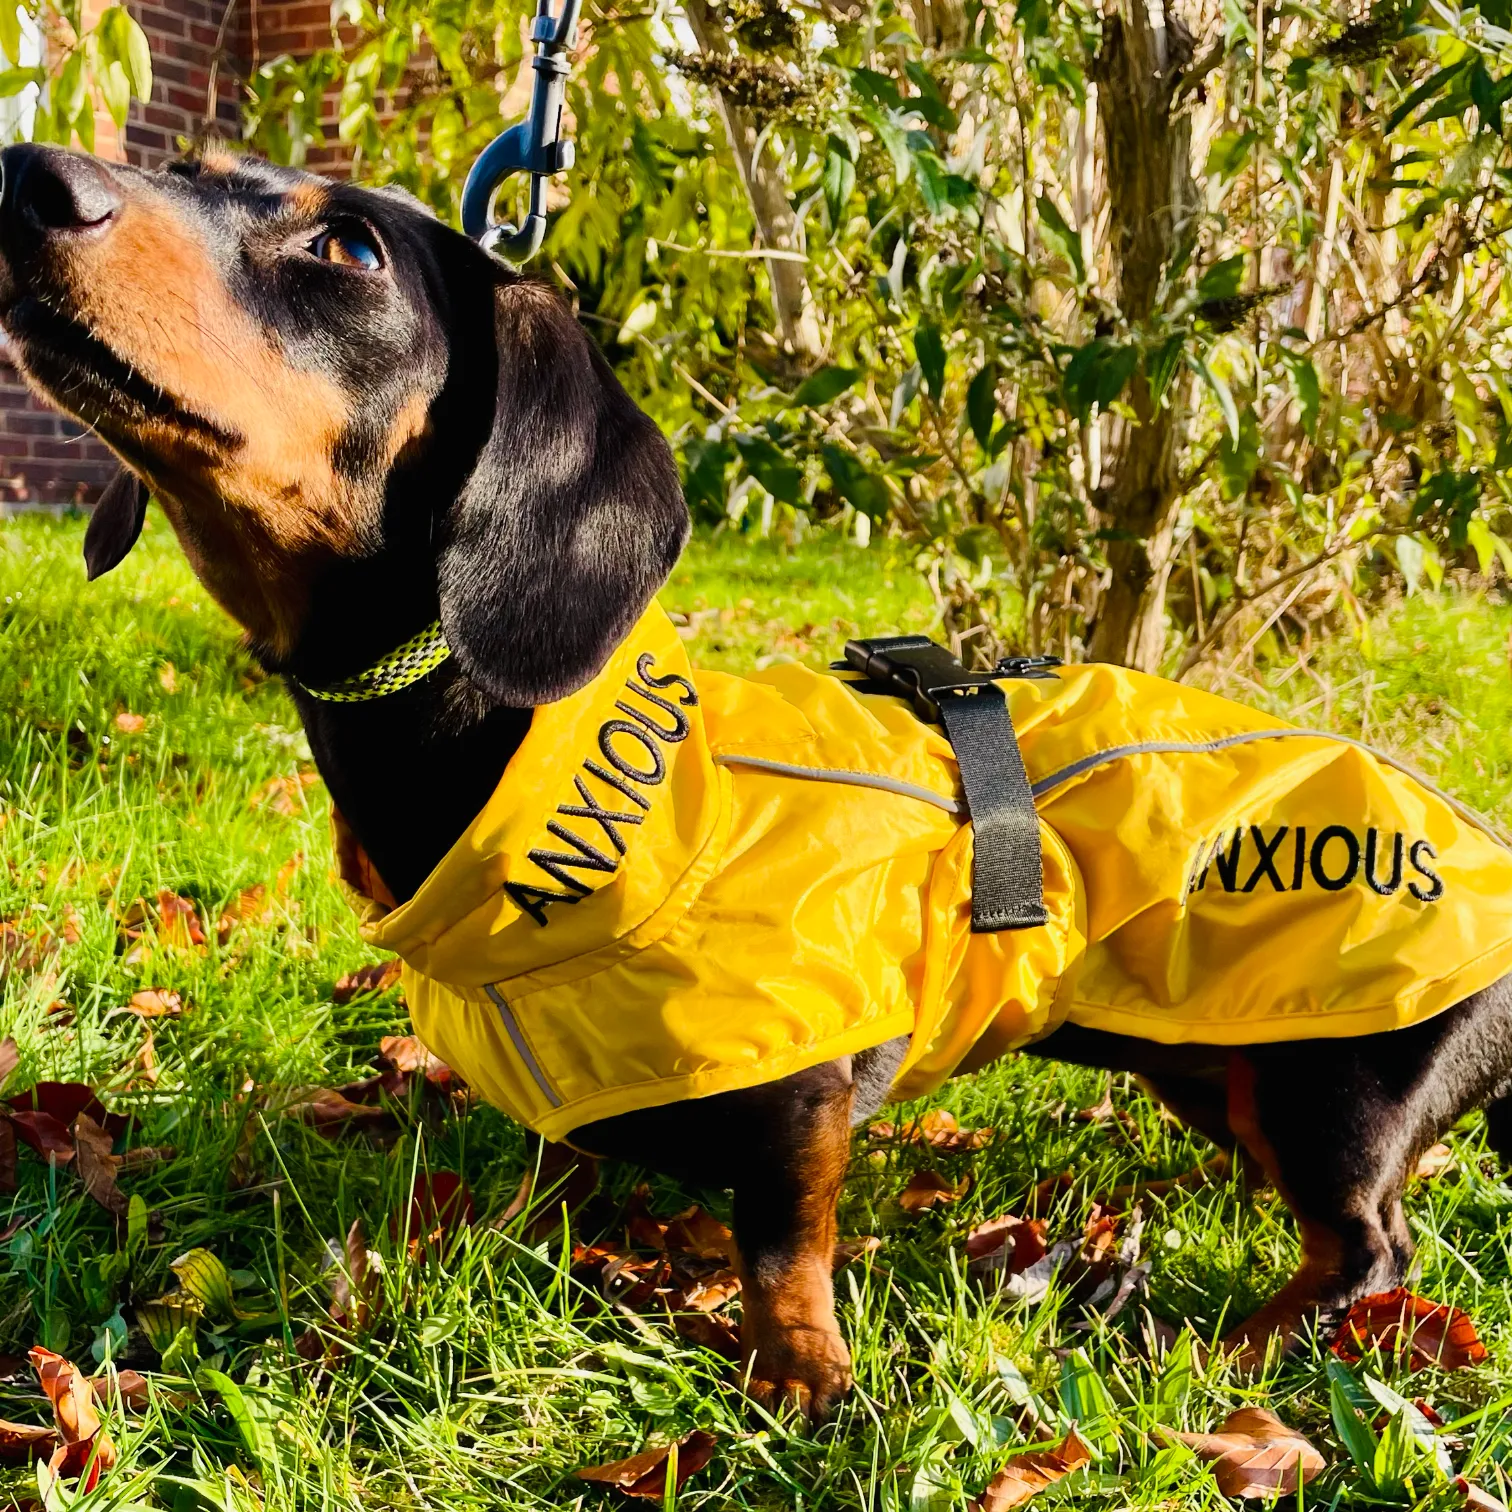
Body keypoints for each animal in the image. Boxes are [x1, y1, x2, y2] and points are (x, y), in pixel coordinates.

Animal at [2, 142, 1512, 1415]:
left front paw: (799, 1377)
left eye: (348, 249)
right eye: (189, 169)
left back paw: (1232, 1346)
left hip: (1336, 1089)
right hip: (1223, 1065)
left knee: (1372, 1246)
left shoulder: (804, 1088)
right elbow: (563, 1164)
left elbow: (783, 1243)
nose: (30, 175)